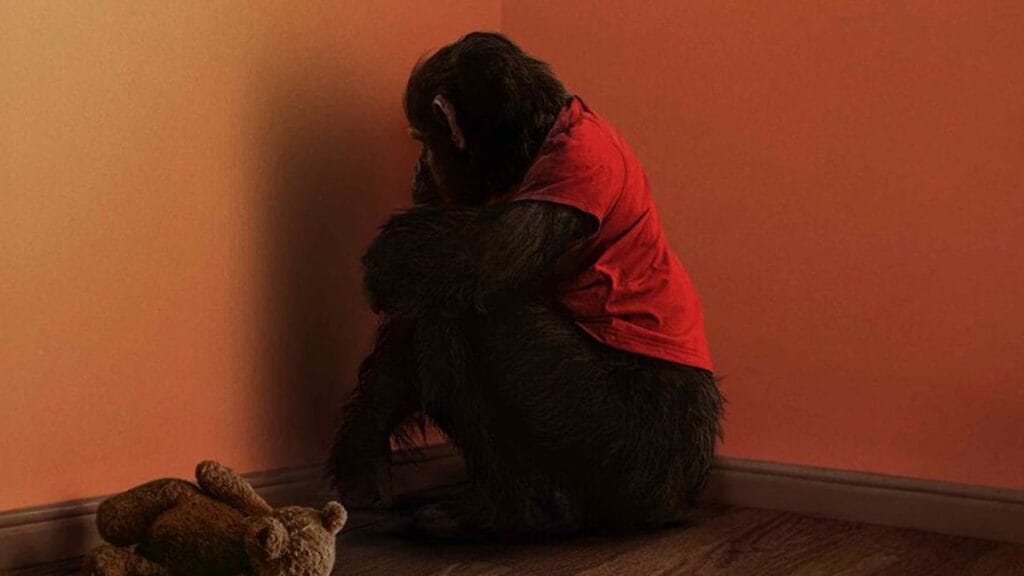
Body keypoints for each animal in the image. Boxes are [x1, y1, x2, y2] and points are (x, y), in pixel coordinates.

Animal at [326, 32, 723, 539]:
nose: (417, 167)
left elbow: (484, 255)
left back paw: (508, 509)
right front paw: (364, 455)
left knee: (462, 317)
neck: (539, 137)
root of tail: (680, 500)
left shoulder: (575, 170)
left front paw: (386, 255)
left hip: (618, 445)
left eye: (422, 140)